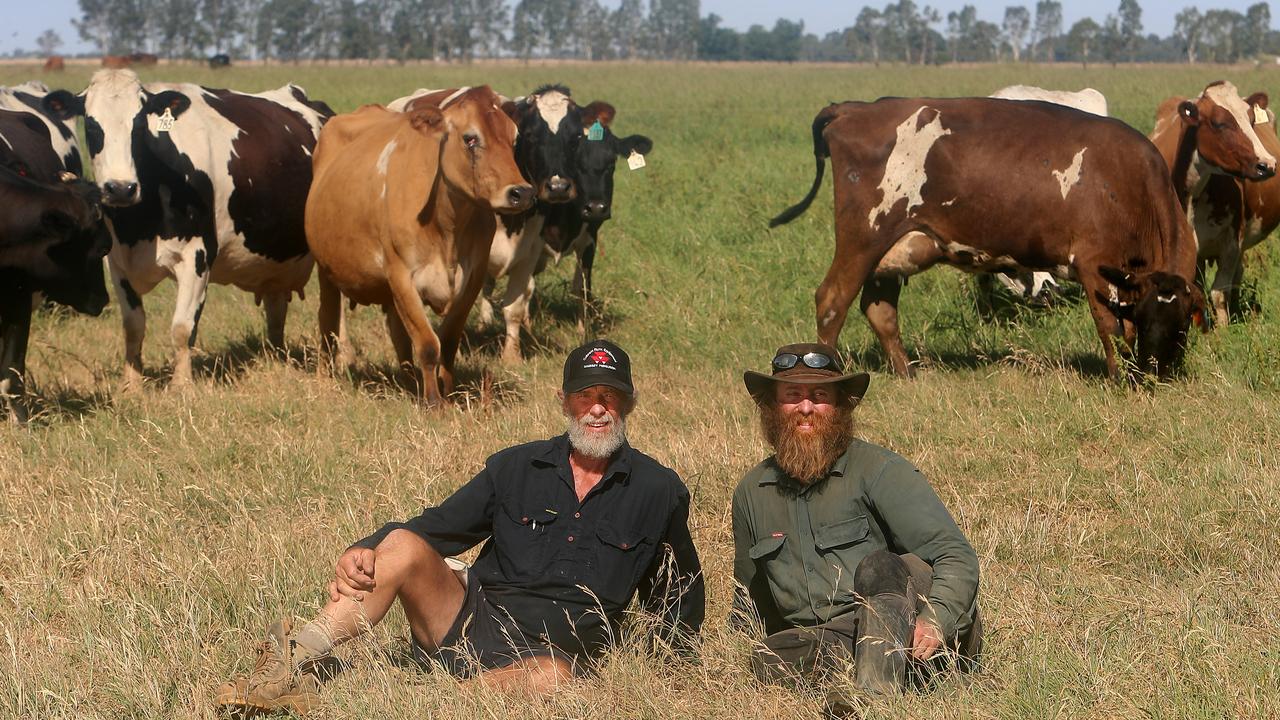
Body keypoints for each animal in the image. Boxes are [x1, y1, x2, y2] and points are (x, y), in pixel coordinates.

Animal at [42, 67, 335, 389]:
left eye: (139, 125)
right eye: (93, 127)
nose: (120, 188)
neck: (138, 224)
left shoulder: (197, 256)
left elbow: (182, 328)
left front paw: (181, 386)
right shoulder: (117, 263)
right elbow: (133, 326)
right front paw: (131, 385)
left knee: (331, 314)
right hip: (273, 262)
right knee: (276, 310)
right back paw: (277, 359)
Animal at [305, 85, 535, 404]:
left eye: (513, 138)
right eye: (470, 138)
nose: (521, 193)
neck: (447, 226)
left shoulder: (472, 279)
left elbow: (447, 340)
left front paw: (448, 392)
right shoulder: (402, 275)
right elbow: (427, 344)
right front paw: (434, 402)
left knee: (398, 334)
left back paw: (408, 380)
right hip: (326, 271)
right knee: (327, 322)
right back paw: (327, 377)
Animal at [768, 99, 1208, 386]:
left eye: (1181, 324)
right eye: (1148, 317)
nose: (1157, 372)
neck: (1127, 179)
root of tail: (854, 108)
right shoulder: (1094, 266)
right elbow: (1111, 327)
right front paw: (1119, 378)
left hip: (894, 250)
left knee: (880, 310)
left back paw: (907, 373)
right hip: (863, 239)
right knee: (832, 301)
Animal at [1152, 79, 1280, 324]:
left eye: (1252, 120)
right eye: (1219, 123)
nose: (1267, 164)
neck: (1193, 196)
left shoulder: (1231, 242)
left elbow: (1220, 292)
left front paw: (1222, 329)